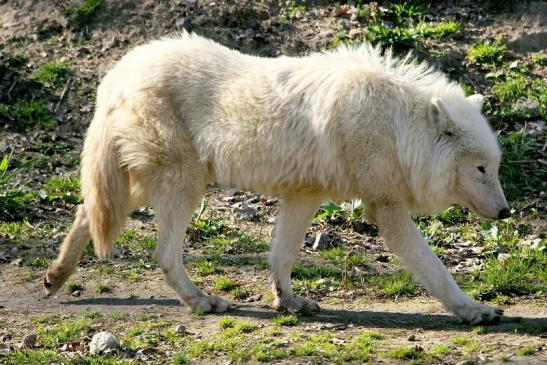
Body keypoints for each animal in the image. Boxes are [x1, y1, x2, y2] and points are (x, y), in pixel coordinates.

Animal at [45, 32, 512, 324]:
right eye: (481, 169)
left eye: (495, 167)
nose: (507, 213)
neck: (397, 127)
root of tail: (116, 74)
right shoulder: (386, 208)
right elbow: (435, 268)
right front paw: (473, 310)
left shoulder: (304, 195)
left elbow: (281, 255)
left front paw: (287, 301)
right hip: (184, 186)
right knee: (162, 253)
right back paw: (201, 301)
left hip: (151, 184)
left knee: (89, 211)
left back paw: (56, 275)